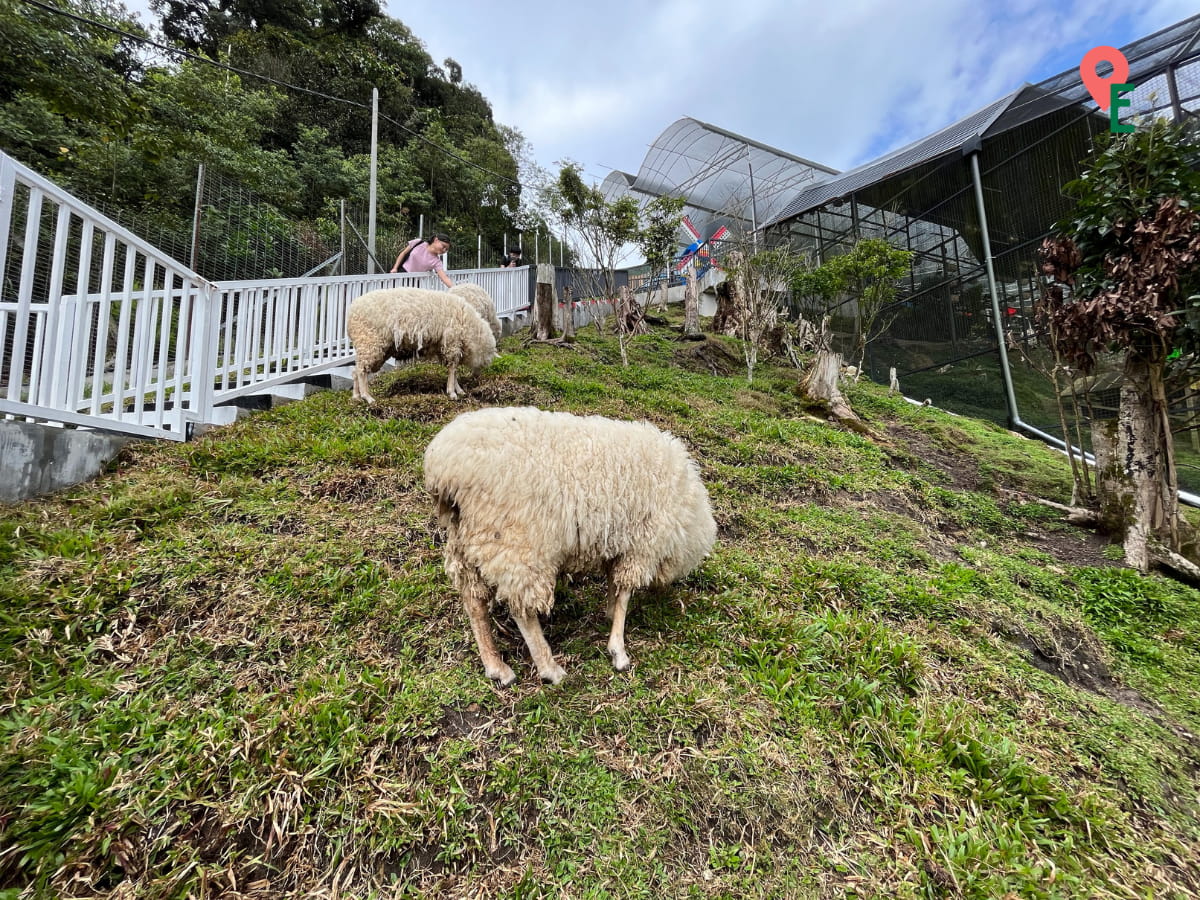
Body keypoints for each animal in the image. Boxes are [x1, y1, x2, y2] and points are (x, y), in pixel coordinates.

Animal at [348, 289, 496, 400]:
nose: (476, 376)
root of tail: (351, 312)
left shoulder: (445, 347)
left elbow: (453, 370)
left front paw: (458, 389)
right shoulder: (452, 343)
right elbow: (453, 369)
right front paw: (452, 392)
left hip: (368, 346)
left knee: (356, 370)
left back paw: (356, 396)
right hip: (369, 342)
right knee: (361, 371)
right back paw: (367, 397)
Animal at [427, 405, 715, 686]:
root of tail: (444, 467)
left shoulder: (620, 543)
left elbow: (613, 584)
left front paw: (609, 613)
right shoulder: (642, 545)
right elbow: (624, 592)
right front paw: (618, 650)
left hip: (467, 539)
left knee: (474, 601)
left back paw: (495, 666)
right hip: (517, 542)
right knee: (522, 610)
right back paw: (549, 668)